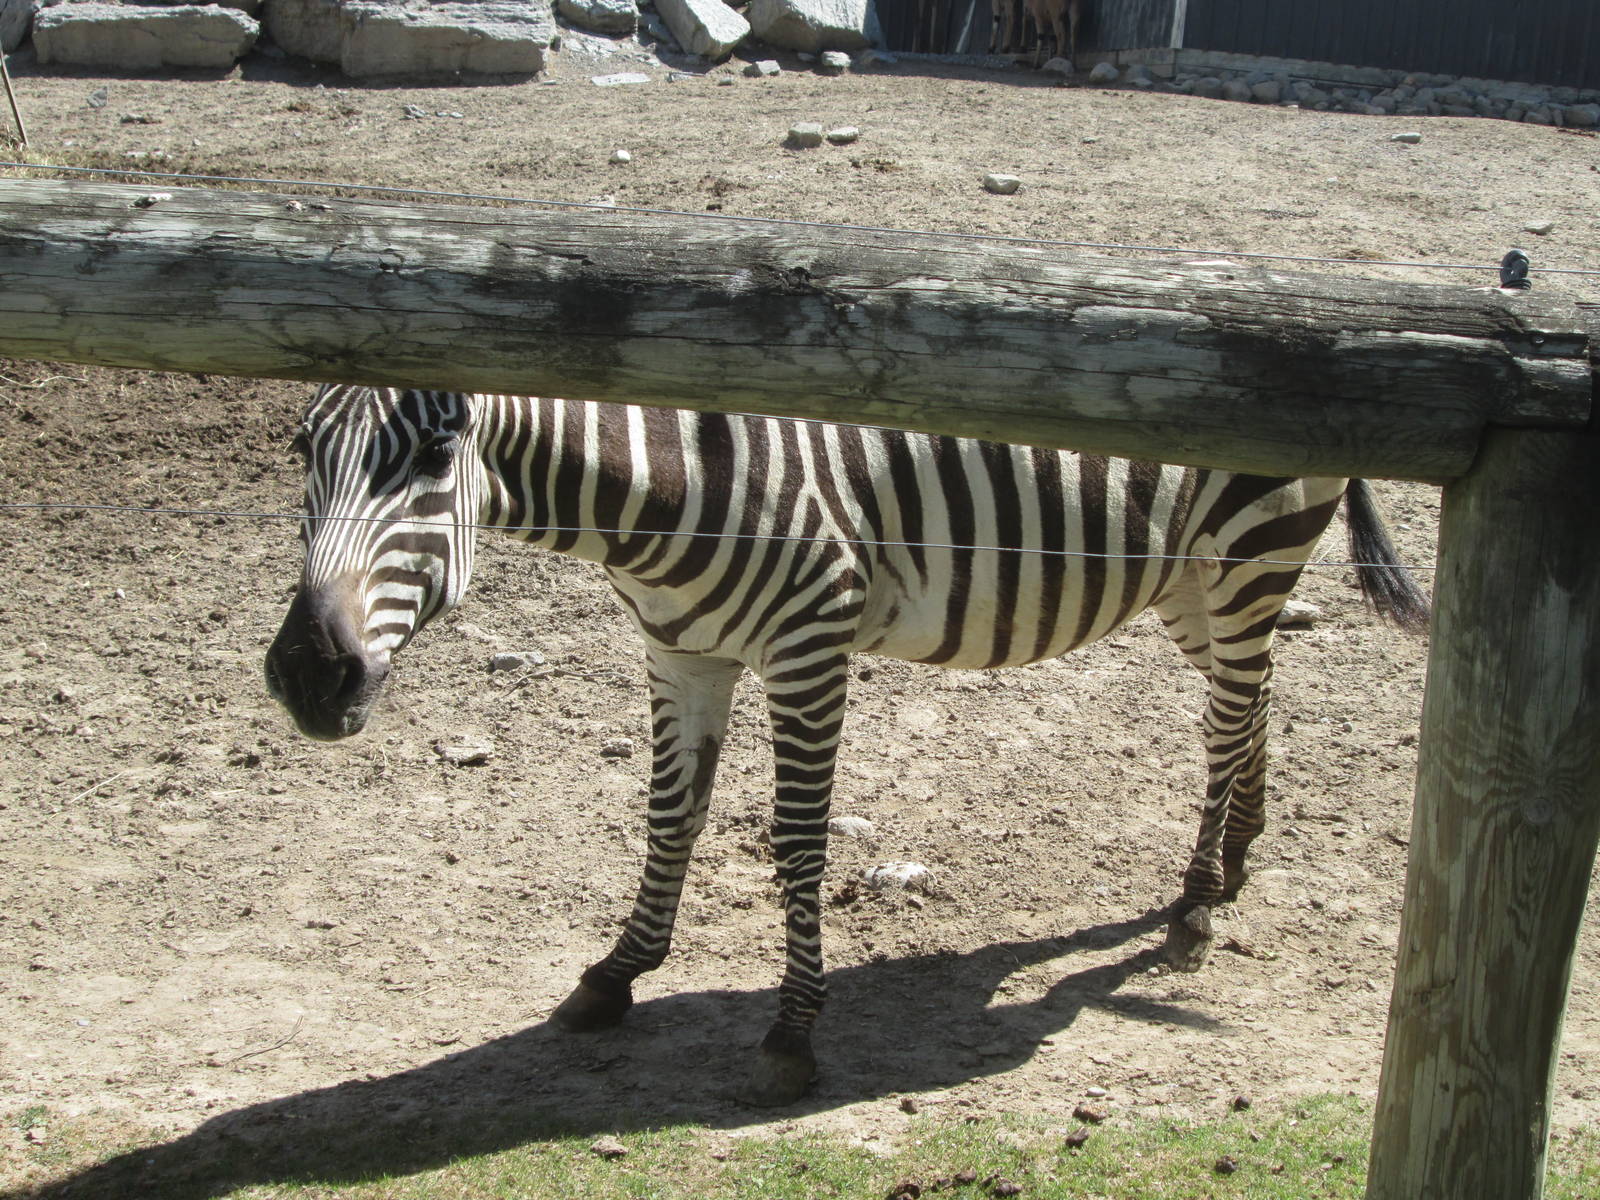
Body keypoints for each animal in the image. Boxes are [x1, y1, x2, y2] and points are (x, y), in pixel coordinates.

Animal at [264, 384, 1428, 1106]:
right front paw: (617, 973)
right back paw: (1235, 860)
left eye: (433, 454)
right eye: (302, 452)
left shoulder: (808, 646)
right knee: (1250, 702)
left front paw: (792, 1034)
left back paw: (1193, 899)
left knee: (1230, 719)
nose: (308, 679)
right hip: (1191, 582)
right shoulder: (681, 653)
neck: (671, 485)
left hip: (1245, 559)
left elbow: (796, 843)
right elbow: (669, 817)